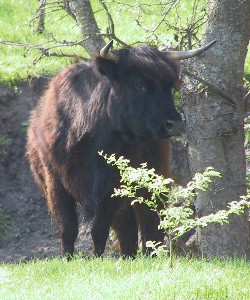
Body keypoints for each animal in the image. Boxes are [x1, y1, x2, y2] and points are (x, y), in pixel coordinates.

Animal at [26, 38, 215, 256]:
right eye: (138, 84)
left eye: (169, 87)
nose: (174, 123)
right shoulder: (55, 181)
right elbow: (68, 228)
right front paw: (68, 258)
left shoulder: (113, 186)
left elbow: (99, 229)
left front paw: (97, 258)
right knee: (129, 229)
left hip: (152, 180)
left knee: (150, 221)